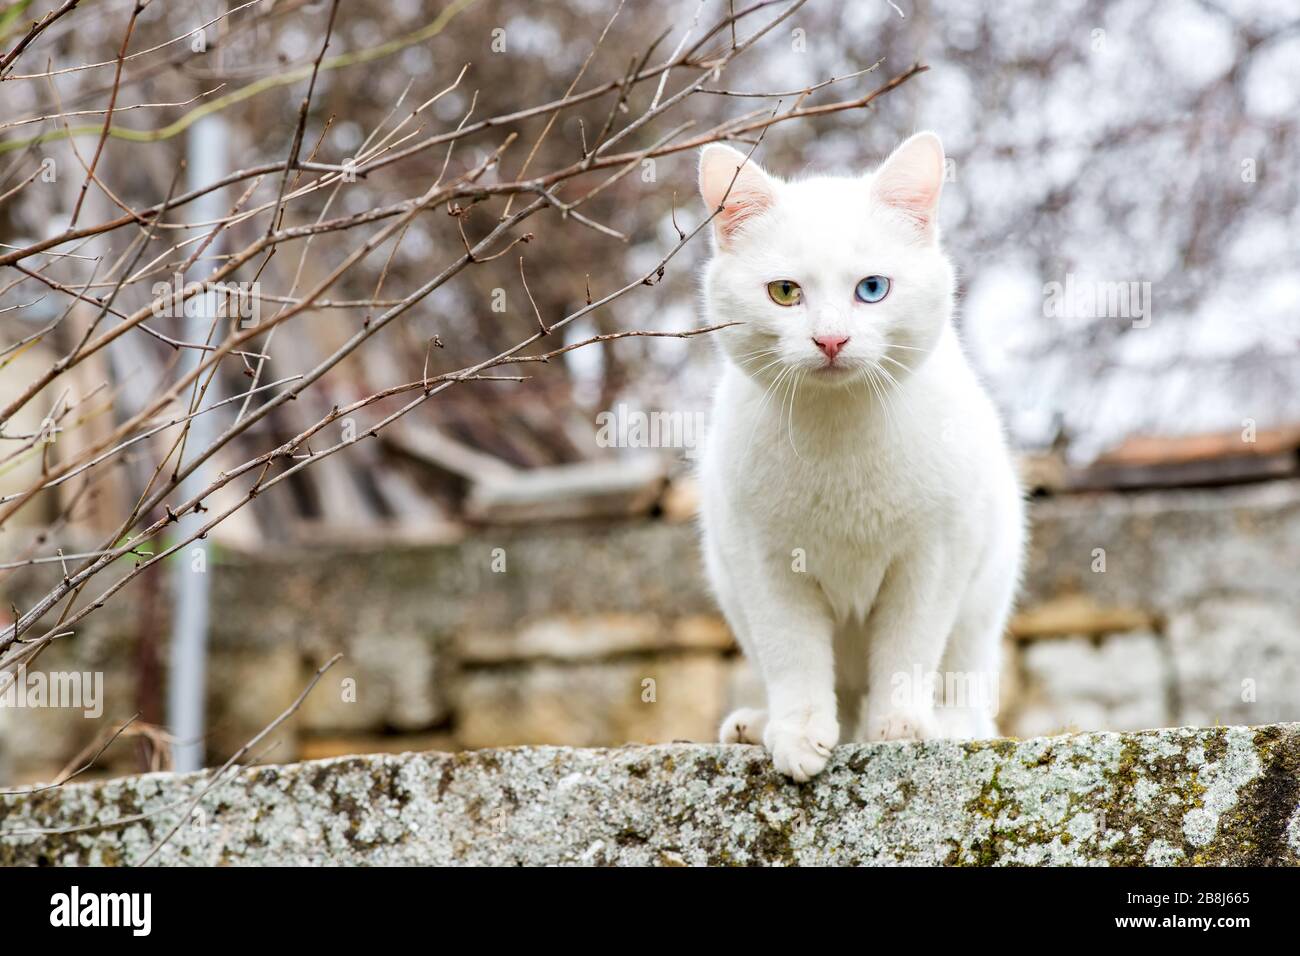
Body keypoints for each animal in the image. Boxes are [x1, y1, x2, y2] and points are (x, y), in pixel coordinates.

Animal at [696, 132, 1019, 780]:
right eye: (785, 292)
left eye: (872, 289)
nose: (830, 339)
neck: (838, 433)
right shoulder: (760, 559)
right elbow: (791, 654)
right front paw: (798, 734)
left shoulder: (936, 553)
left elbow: (908, 647)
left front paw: (900, 728)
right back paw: (760, 726)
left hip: (985, 594)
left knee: (964, 688)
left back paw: (948, 725)